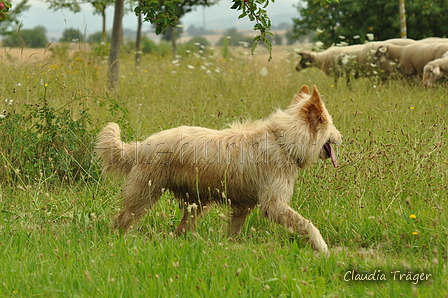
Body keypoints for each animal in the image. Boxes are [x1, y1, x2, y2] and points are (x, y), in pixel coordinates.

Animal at [96, 85, 342, 253]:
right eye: (331, 124)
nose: (341, 137)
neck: (284, 141)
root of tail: (142, 145)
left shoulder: (243, 206)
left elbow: (233, 231)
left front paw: (228, 247)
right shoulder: (273, 204)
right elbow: (308, 225)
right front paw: (323, 248)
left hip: (197, 204)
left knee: (180, 230)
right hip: (145, 196)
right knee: (122, 220)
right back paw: (117, 241)